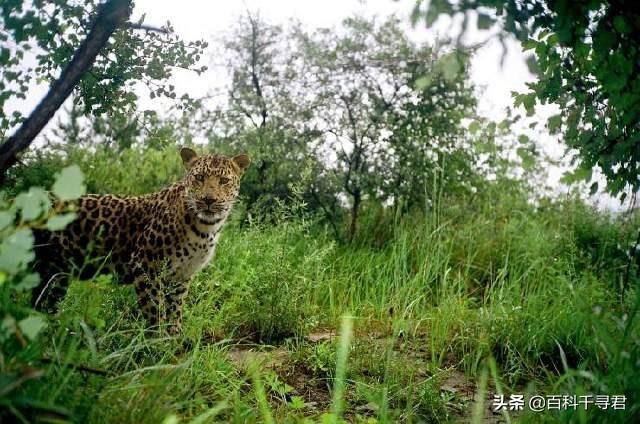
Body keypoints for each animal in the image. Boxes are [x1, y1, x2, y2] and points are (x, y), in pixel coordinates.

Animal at [32, 147, 251, 332]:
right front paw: (159, 345)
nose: (208, 200)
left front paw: (175, 339)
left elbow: (175, 310)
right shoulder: (146, 267)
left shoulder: (181, 275)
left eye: (223, 181)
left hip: (54, 277)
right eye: (199, 177)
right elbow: (155, 310)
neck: (206, 228)